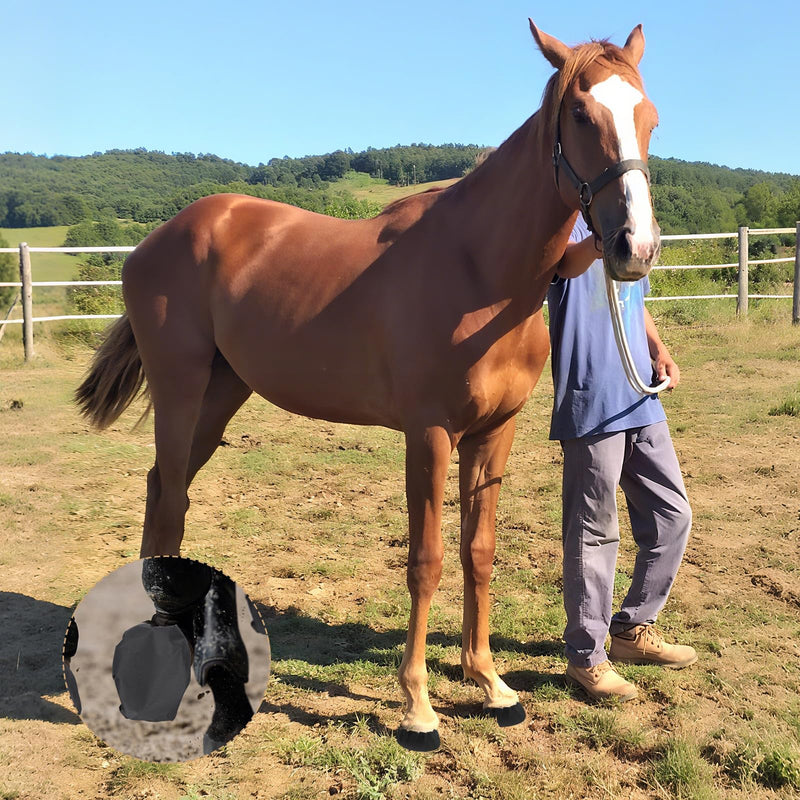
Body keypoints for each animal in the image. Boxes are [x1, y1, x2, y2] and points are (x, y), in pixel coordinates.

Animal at [75, 21, 661, 751]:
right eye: (581, 114)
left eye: (649, 117)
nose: (635, 247)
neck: (481, 269)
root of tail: (159, 239)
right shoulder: (429, 433)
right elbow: (427, 559)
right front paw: (418, 707)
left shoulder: (494, 433)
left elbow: (479, 552)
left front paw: (489, 683)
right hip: (181, 391)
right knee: (171, 498)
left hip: (220, 393)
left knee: (164, 490)